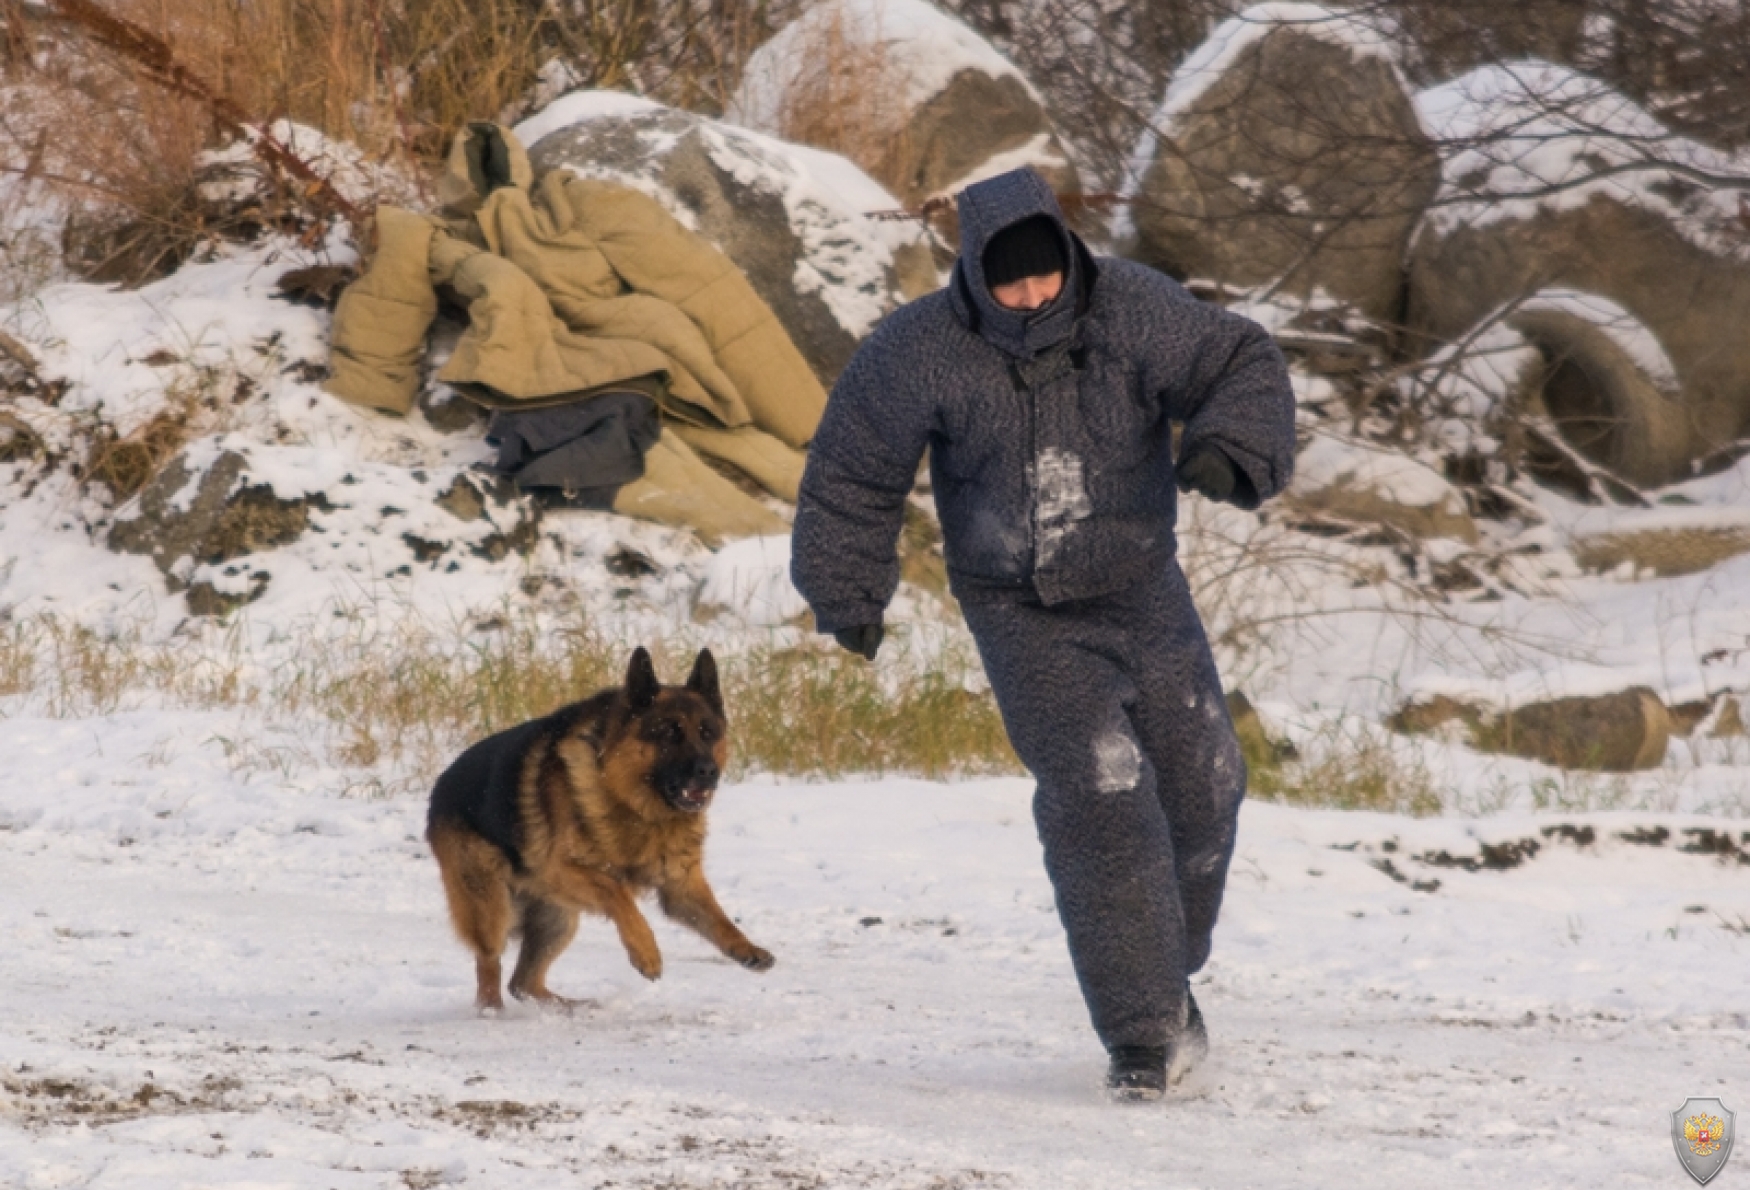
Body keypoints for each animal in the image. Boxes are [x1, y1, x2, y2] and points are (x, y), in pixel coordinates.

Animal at [423, 647, 773, 1008]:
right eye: (668, 733)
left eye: (708, 733)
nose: (708, 771)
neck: (632, 804)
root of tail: (438, 789)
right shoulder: (560, 870)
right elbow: (616, 890)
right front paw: (646, 952)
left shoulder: (680, 886)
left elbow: (718, 918)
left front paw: (746, 947)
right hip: (492, 909)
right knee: (489, 967)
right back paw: (493, 1011)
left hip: (557, 917)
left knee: (523, 983)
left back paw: (569, 1007)